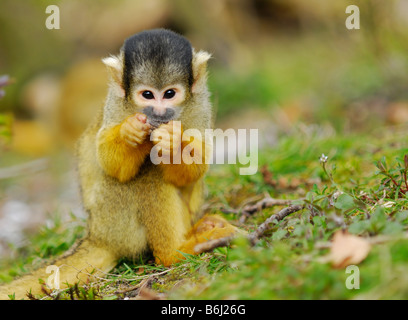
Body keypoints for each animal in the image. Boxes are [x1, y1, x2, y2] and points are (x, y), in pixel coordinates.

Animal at [0, 28, 237, 298]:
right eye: (147, 95)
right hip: (113, 219)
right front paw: (129, 132)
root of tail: (96, 235)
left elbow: (193, 170)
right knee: (146, 174)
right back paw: (173, 253)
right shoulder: (114, 104)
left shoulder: (201, 105)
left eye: (169, 94)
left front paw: (174, 141)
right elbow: (112, 164)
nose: (158, 113)